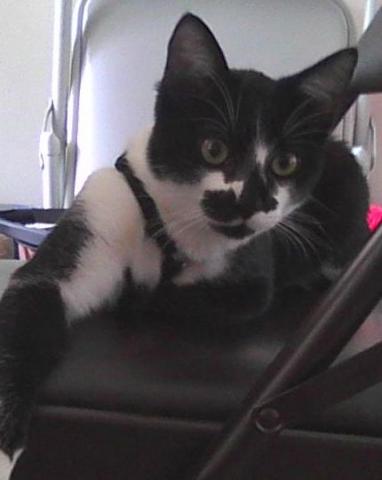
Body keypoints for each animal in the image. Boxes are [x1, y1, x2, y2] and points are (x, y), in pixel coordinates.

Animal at [0, 13, 368, 478]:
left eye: (285, 163)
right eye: (213, 148)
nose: (250, 201)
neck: (171, 226)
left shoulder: (249, 275)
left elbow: (184, 298)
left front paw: (140, 294)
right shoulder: (102, 210)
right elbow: (29, 305)